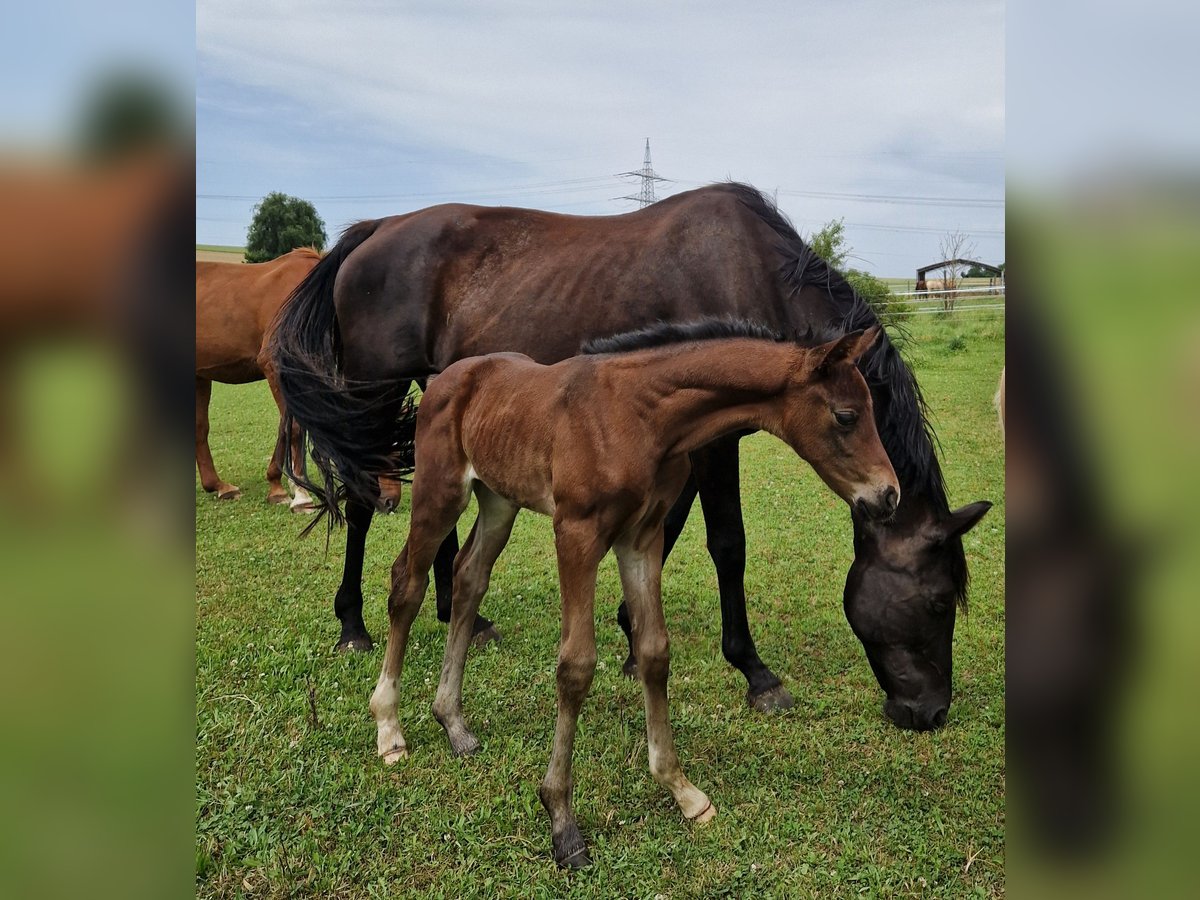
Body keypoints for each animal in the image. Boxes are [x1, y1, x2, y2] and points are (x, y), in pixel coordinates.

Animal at [274, 183, 993, 734]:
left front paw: (627, 634)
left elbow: (666, 531)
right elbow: (727, 544)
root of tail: (376, 229)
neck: (752, 274)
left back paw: (461, 614)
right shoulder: (715, 444)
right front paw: (755, 672)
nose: (930, 712)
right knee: (364, 500)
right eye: (937, 602)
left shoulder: (683, 440)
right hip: (373, 392)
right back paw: (354, 625)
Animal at [374, 321, 902, 868]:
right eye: (846, 416)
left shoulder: (641, 537)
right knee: (407, 585)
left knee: (469, 579)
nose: (888, 496)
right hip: (439, 492)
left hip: (499, 499)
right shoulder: (577, 534)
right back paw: (389, 728)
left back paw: (453, 722)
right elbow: (576, 666)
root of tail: (443, 379)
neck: (639, 416)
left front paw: (683, 791)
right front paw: (562, 821)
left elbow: (653, 652)